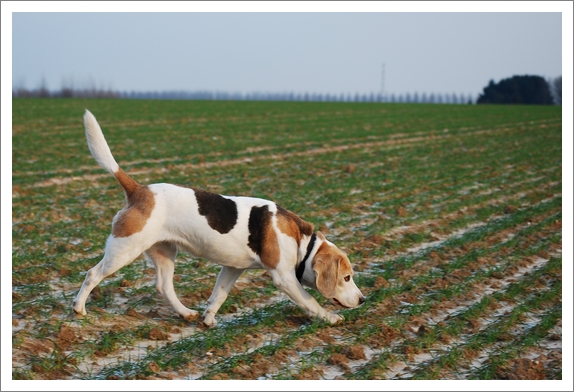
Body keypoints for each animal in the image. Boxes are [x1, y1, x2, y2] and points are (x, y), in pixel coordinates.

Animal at [73, 109, 364, 324]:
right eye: (346, 277)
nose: (363, 300)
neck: (302, 241)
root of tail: (139, 190)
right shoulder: (284, 278)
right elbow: (310, 300)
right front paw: (330, 318)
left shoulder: (232, 268)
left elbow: (219, 295)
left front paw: (208, 319)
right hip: (124, 249)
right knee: (92, 273)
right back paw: (78, 308)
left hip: (164, 252)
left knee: (164, 287)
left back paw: (186, 313)